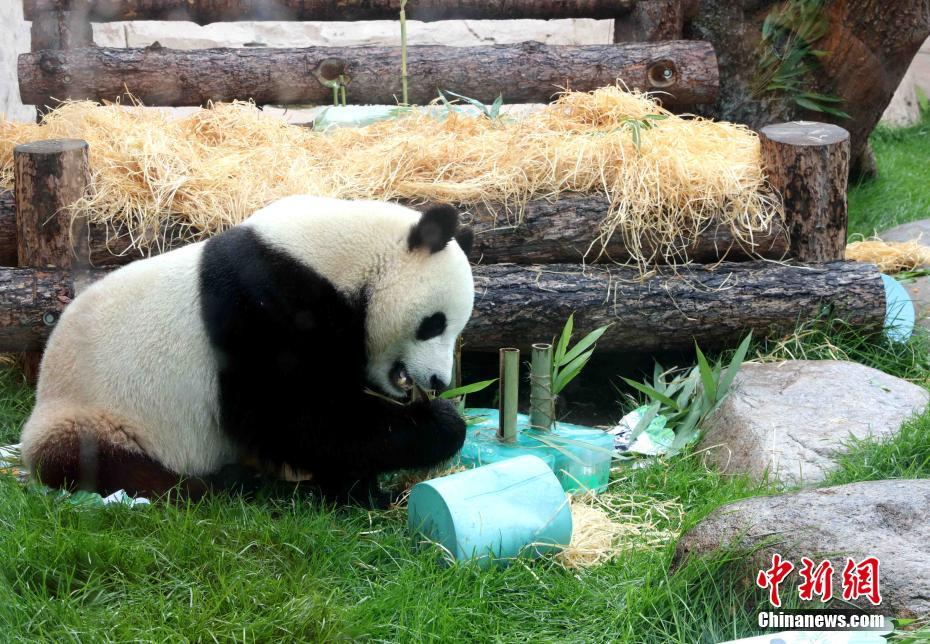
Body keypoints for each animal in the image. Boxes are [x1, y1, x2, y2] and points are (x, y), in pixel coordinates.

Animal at [19, 194, 474, 506]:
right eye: (435, 323)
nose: (439, 381)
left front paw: (362, 489)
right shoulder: (266, 302)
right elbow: (293, 415)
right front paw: (440, 426)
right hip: (98, 412)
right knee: (110, 463)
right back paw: (219, 483)